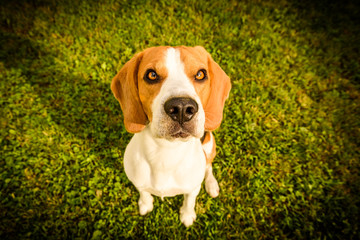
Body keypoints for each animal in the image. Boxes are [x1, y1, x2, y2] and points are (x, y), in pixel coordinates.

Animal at [111, 45, 232, 227]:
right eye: (152, 75)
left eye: (200, 74)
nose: (182, 108)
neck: (166, 151)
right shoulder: (137, 181)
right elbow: (144, 192)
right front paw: (145, 204)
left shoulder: (192, 189)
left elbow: (189, 202)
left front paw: (187, 216)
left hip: (210, 145)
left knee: (208, 166)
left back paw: (211, 185)